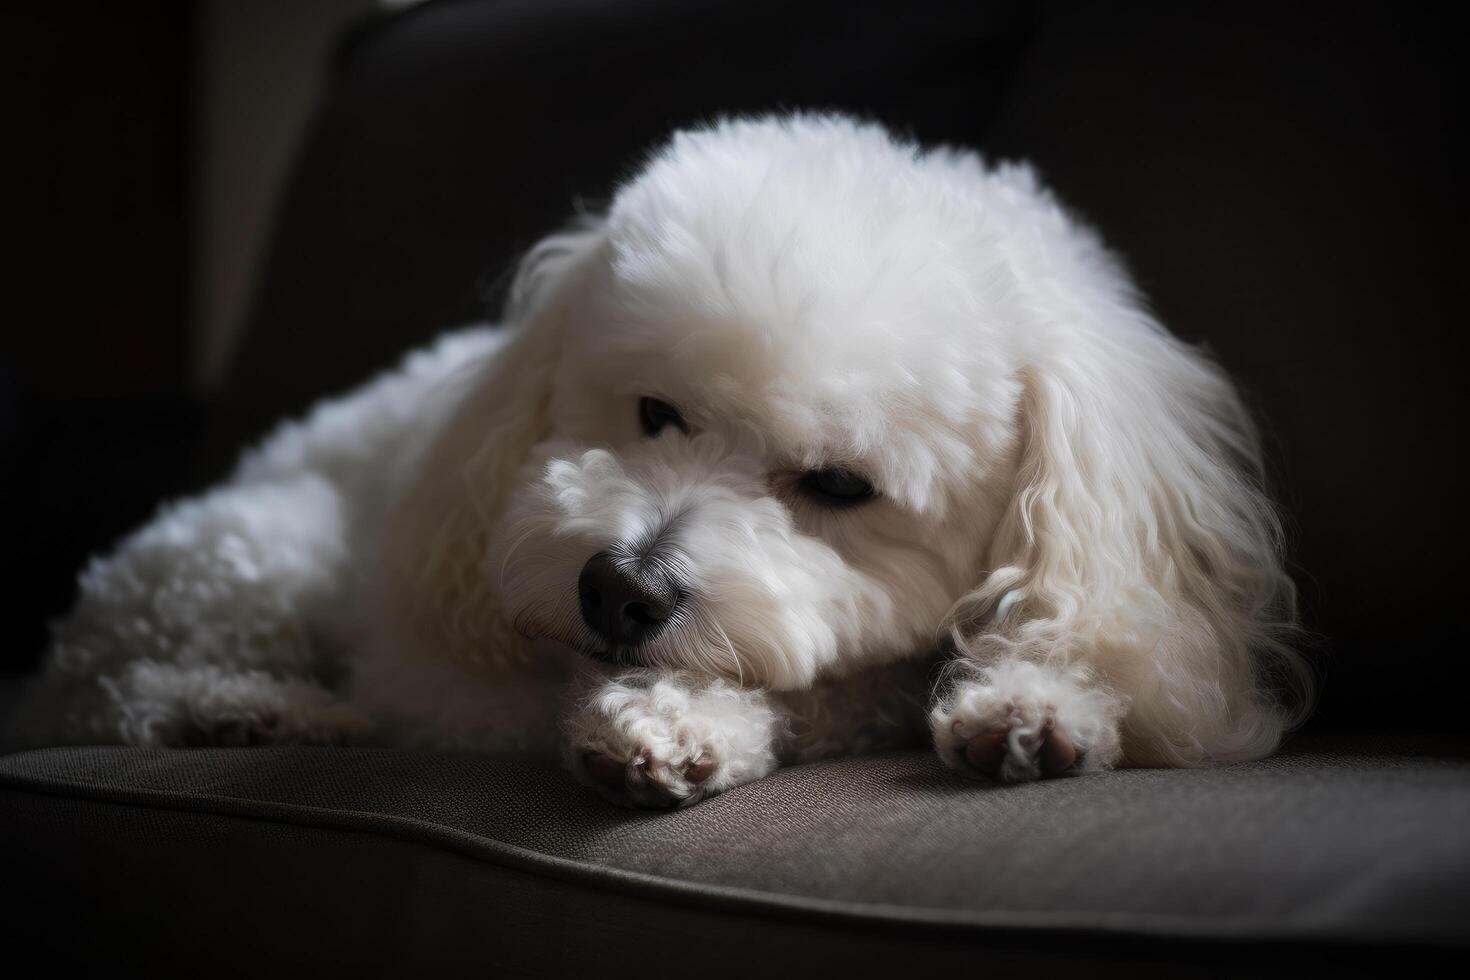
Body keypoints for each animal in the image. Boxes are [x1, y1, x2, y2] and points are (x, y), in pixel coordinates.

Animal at [11, 113, 1317, 805]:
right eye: (654, 409)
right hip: (254, 549)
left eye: (839, 486)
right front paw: (677, 723)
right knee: (117, 687)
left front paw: (1037, 700)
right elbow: (814, 692)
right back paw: (252, 710)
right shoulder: (470, 691)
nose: (619, 589)